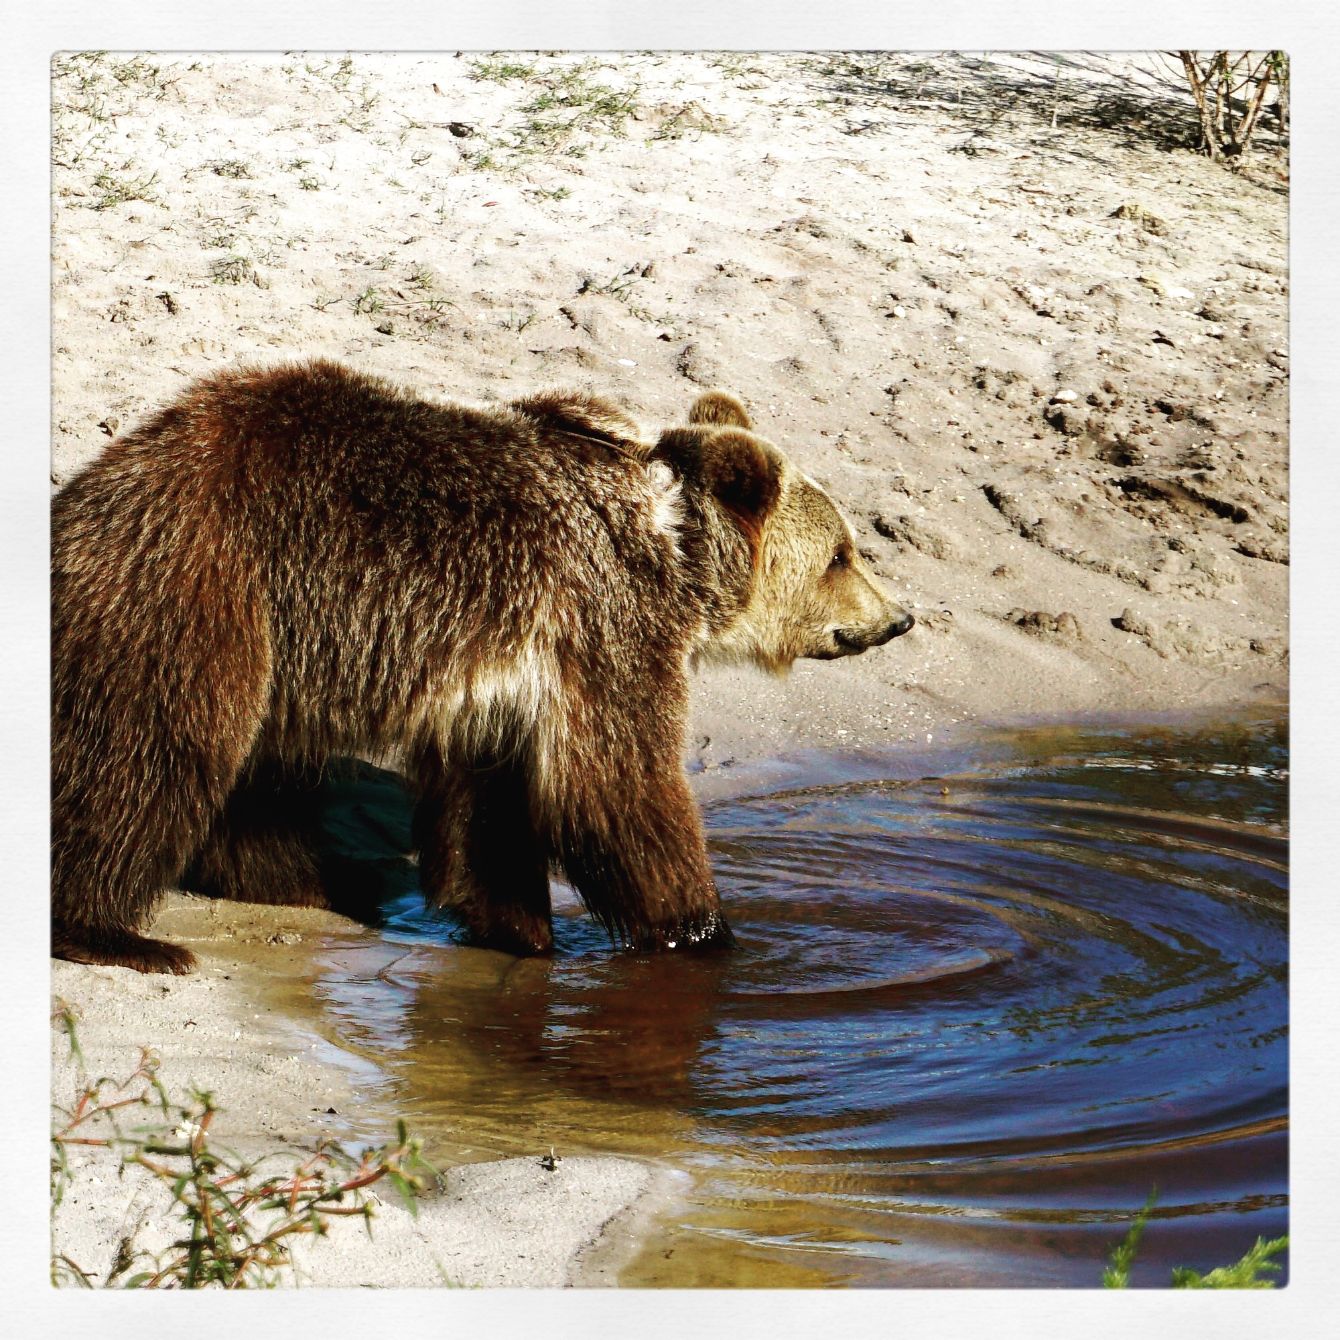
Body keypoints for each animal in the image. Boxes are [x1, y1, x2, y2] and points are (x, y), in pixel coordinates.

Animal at [51, 360, 914, 973]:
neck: (674, 549)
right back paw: (113, 931)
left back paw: (309, 880)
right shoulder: (605, 620)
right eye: (843, 553)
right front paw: (700, 929)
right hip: (204, 584)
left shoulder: (508, 675)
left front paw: (517, 927)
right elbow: (619, 786)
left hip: (279, 638)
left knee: (252, 775)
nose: (900, 617)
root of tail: (100, 480)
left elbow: (490, 810)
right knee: (148, 752)